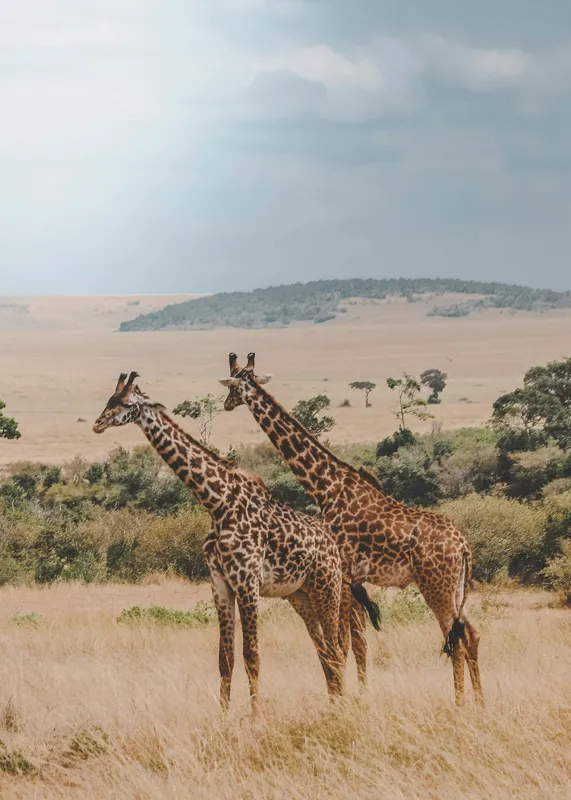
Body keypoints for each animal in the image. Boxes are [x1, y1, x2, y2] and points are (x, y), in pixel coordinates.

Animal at [93, 371, 370, 712]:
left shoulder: (247, 582)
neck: (218, 503)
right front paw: (223, 716)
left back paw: (339, 707)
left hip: (327, 589)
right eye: (110, 398)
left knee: (337, 648)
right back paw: (333, 705)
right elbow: (225, 659)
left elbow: (252, 655)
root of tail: (335, 549)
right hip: (301, 595)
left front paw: (255, 716)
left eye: (128, 403)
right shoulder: (220, 584)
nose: (98, 424)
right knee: (327, 652)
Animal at [220, 354, 484, 707]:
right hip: (455, 588)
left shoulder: (342, 573)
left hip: (436, 586)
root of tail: (463, 547)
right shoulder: (353, 579)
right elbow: (358, 642)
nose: (225, 404)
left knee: (454, 640)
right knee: (470, 633)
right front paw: (360, 696)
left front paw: (344, 700)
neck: (326, 485)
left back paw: (459, 704)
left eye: (233, 385)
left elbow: (343, 644)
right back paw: (480, 702)